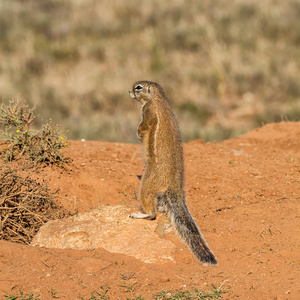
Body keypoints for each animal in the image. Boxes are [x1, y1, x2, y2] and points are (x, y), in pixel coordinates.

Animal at [129, 80, 218, 268]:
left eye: (139, 87)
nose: (129, 91)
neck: (157, 98)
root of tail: (174, 183)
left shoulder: (148, 111)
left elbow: (144, 125)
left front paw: (138, 133)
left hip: (146, 185)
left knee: (152, 213)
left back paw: (140, 214)